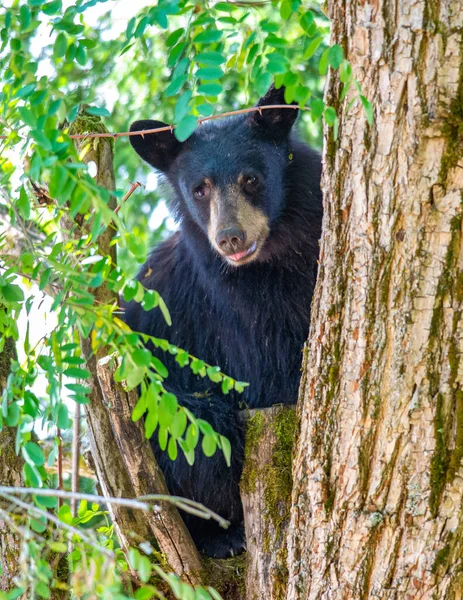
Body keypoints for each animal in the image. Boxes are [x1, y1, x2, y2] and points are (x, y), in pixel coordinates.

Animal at [125, 84, 324, 556]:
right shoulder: (235, 312)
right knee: (201, 427)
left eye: (251, 179)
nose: (230, 238)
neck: (271, 263)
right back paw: (223, 536)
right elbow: (270, 374)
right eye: (200, 190)